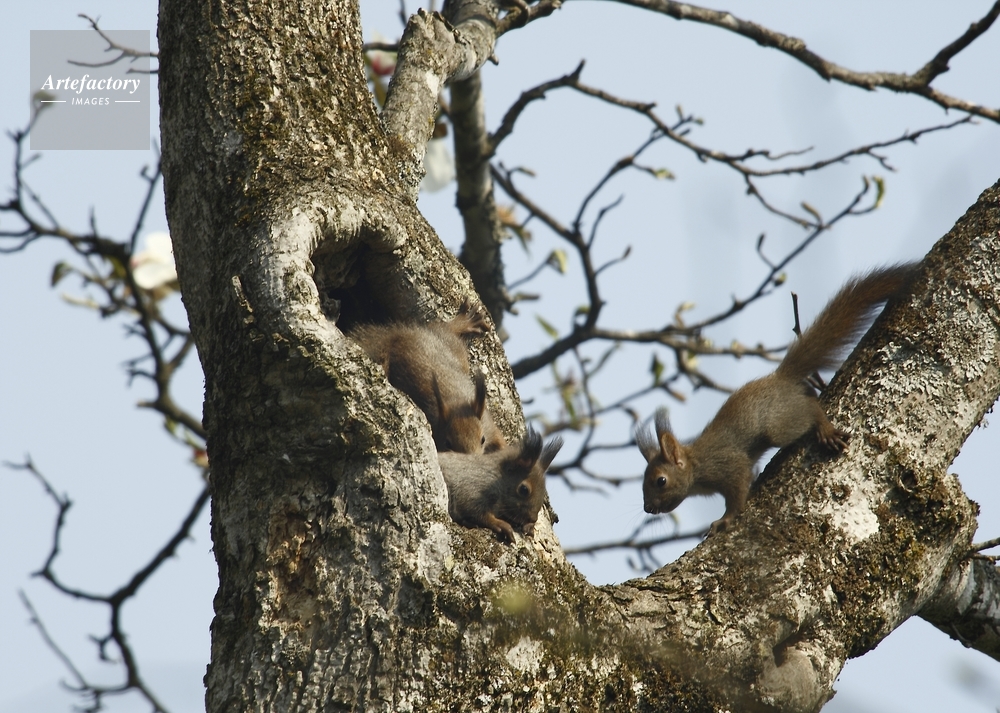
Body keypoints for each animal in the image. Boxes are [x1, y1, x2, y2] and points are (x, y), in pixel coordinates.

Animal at [348, 300, 507, 454]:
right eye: (447, 443)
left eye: (483, 439)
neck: (455, 402)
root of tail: (400, 335)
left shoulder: (488, 423)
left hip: (450, 344)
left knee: (442, 327)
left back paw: (463, 322)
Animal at [636, 264, 916, 535]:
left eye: (660, 481)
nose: (648, 508)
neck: (696, 465)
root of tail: (782, 377)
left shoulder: (728, 465)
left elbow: (737, 493)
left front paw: (725, 520)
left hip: (777, 425)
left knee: (809, 409)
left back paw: (824, 428)